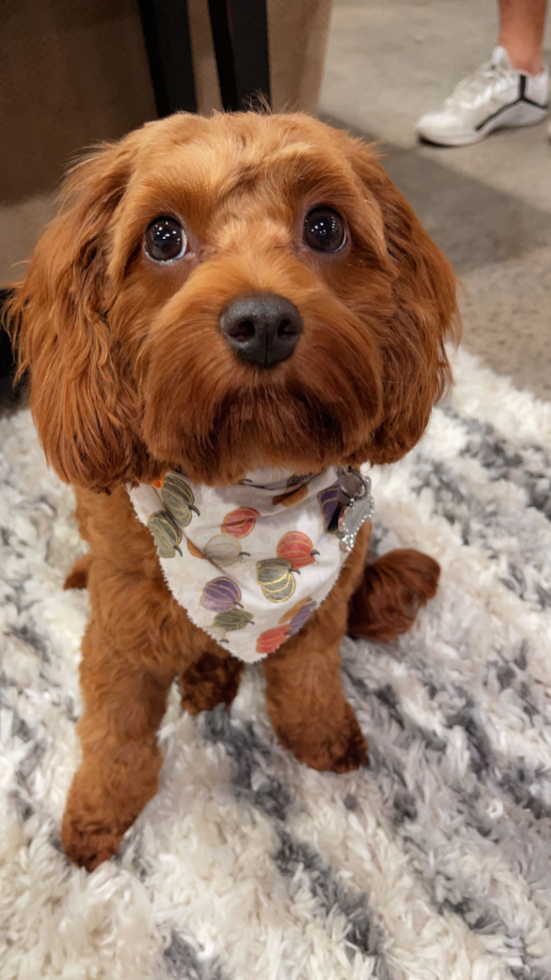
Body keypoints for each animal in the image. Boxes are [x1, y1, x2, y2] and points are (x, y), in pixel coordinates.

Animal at [8, 111, 460, 868]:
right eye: (163, 237)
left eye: (325, 228)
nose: (264, 323)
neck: (248, 503)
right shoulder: (119, 634)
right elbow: (115, 732)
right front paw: (99, 815)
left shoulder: (322, 608)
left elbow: (308, 677)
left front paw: (319, 736)